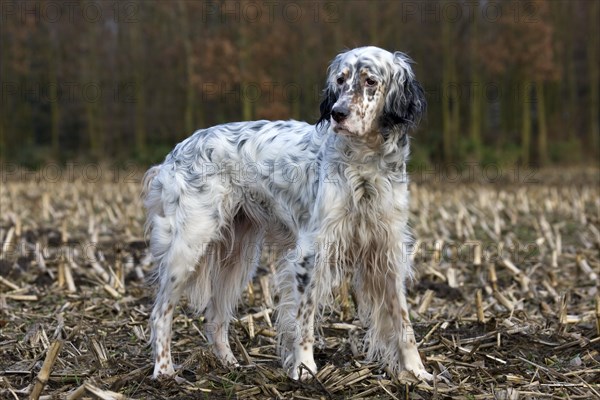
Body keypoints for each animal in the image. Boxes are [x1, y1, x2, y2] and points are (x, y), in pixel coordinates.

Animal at [143, 45, 432, 380]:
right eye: (340, 79)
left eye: (370, 81)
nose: (338, 113)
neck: (365, 164)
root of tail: (176, 151)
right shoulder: (310, 252)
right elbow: (304, 319)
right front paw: (304, 369)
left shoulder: (387, 250)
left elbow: (403, 320)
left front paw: (418, 372)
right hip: (189, 245)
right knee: (161, 312)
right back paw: (164, 371)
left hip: (237, 255)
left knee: (215, 316)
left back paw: (230, 363)